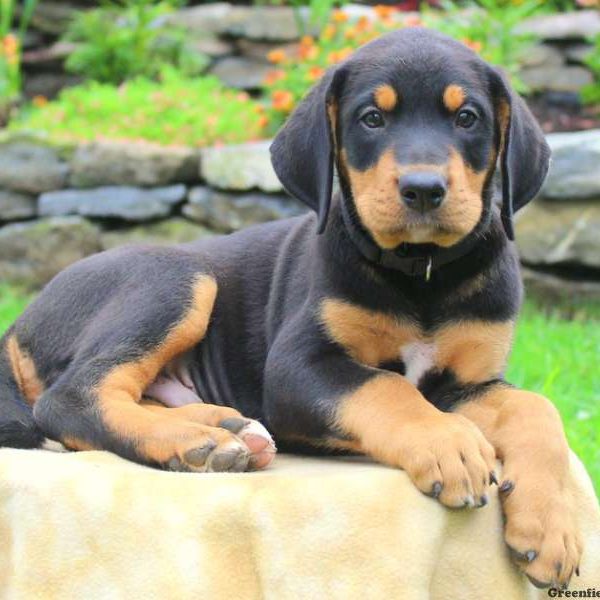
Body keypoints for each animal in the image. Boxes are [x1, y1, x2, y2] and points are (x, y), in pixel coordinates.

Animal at [0, 30, 580, 588]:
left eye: (467, 118)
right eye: (372, 118)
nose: (423, 189)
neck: (421, 275)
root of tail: (21, 320)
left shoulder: (466, 383)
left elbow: (534, 407)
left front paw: (553, 529)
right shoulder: (297, 366)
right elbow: (385, 388)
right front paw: (448, 442)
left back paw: (227, 431)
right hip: (178, 275)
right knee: (68, 397)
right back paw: (194, 442)